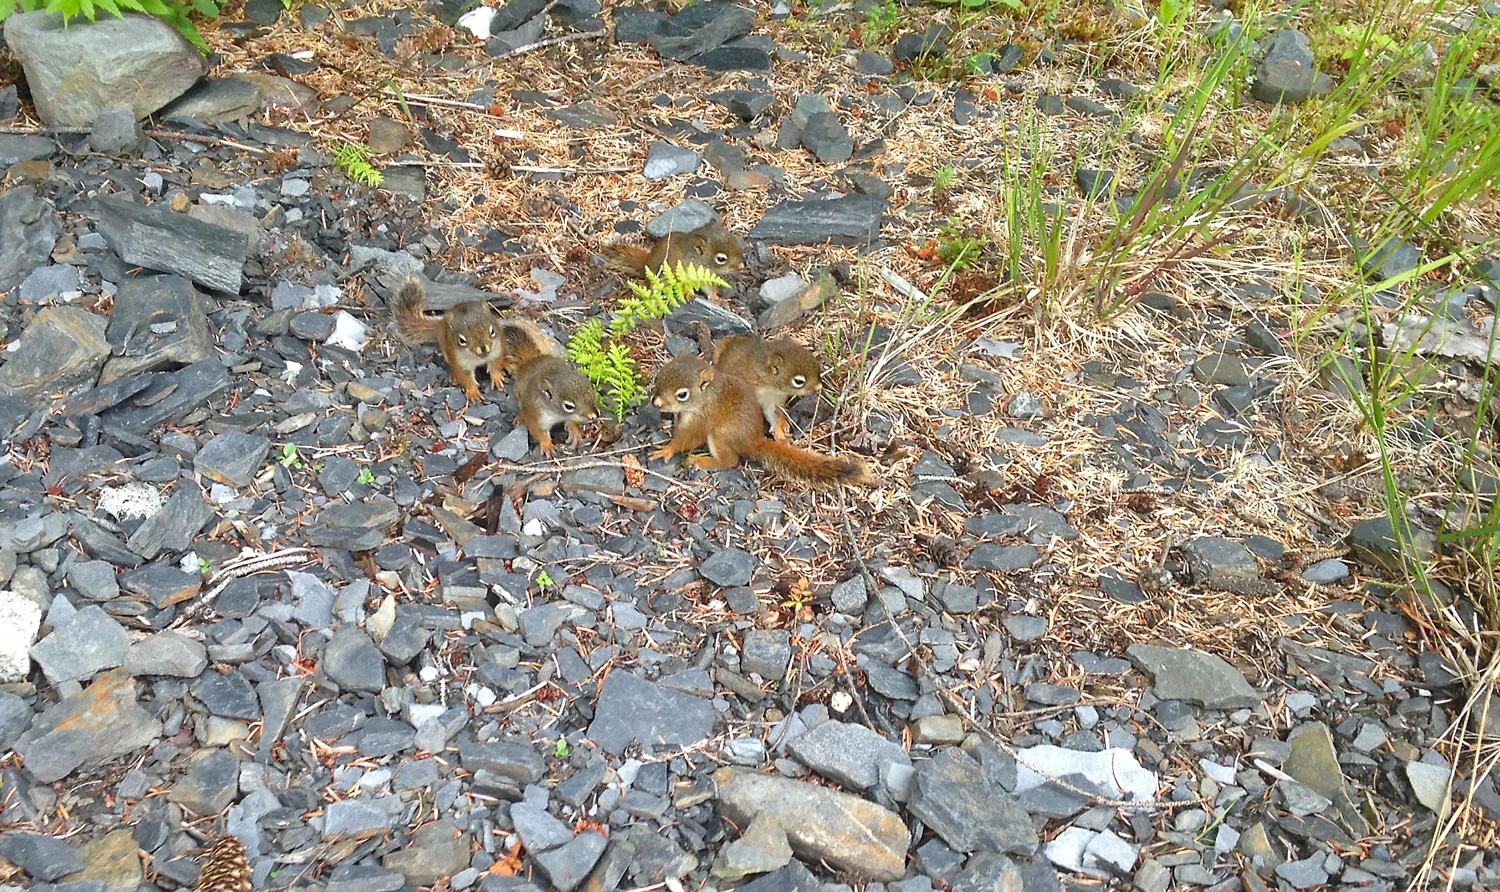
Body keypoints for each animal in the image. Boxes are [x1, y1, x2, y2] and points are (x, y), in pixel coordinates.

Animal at [649, 354, 871, 486]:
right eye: (658, 378)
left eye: (682, 394)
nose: (655, 403)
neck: (706, 397)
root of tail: (754, 442)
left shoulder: (704, 419)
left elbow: (690, 438)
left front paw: (667, 449)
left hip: (721, 435)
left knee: (730, 461)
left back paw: (701, 460)